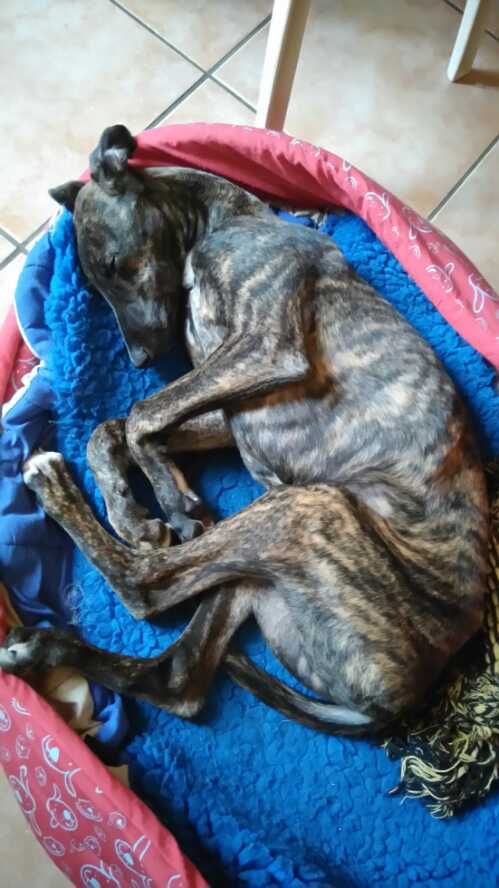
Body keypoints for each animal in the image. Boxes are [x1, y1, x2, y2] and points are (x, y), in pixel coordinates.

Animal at [0, 125, 489, 735]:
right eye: (94, 284)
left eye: (114, 263)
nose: (138, 360)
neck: (223, 223)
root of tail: (400, 697)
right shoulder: (232, 407)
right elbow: (115, 428)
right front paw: (136, 511)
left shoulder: (265, 348)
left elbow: (139, 415)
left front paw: (168, 500)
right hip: (260, 562)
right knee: (177, 678)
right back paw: (43, 647)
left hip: (306, 510)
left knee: (145, 586)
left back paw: (53, 489)